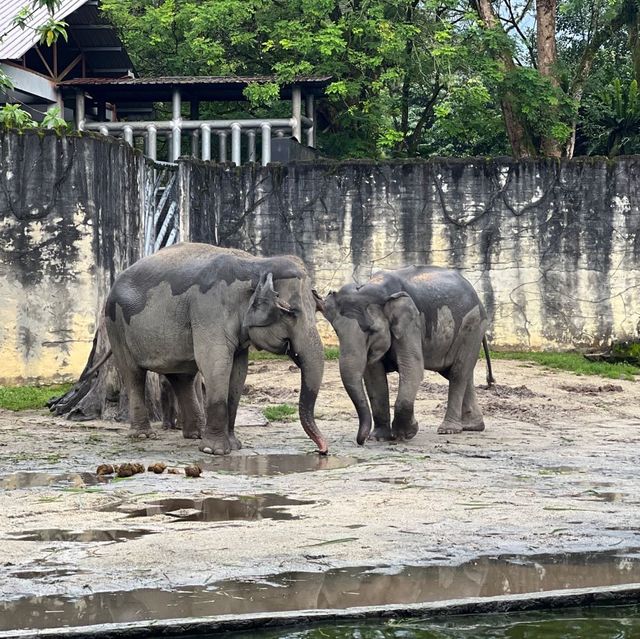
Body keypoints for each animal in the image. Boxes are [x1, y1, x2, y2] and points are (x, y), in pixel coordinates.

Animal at [105, 240, 328, 456]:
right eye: (291, 312)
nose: (322, 450)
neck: (256, 265)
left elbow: (238, 372)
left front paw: (233, 446)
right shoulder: (209, 310)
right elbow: (216, 364)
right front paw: (215, 451)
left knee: (182, 378)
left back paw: (195, 434)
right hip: (116, 325)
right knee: (134, 374)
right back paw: (143, 435)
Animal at [324, 264, 496, 444]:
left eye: (372, 331)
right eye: (337, 332)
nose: (361, 440)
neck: (376, 288)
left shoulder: (410, 322)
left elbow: (411, 367)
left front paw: (405, 434)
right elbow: (373, 376)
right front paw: (379, 438)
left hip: (473, 325)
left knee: (458, 373)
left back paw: (448, 430)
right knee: (459, 373)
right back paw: (473, 426)